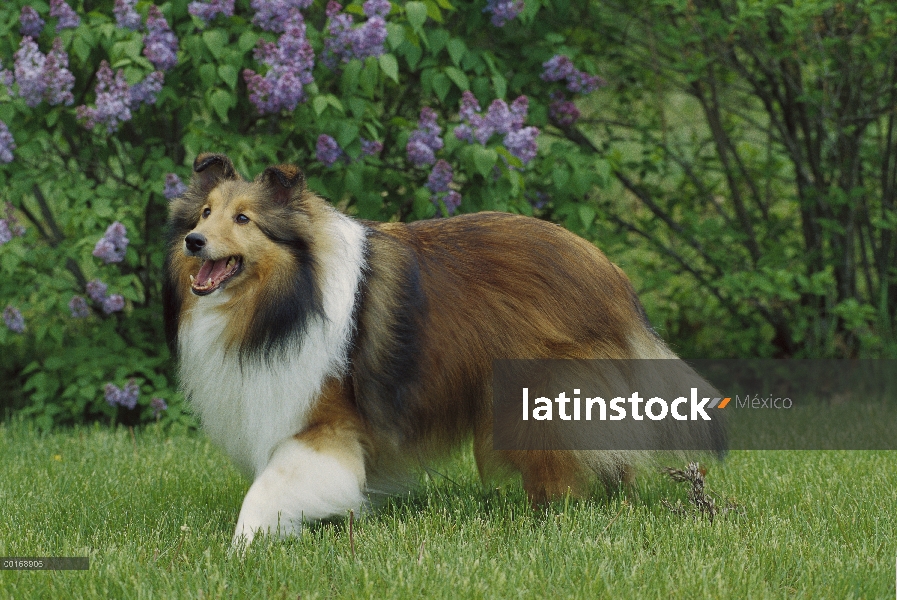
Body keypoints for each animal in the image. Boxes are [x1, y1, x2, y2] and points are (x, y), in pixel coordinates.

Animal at [161, 152, 720, 548]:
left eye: (244, 219)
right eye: (205, 213)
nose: (194, 241)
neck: (288, 295)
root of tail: (610, 274)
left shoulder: (323, 424)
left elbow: (266, 491)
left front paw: (239, 547)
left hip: (538, 394)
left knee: (563, 471)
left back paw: (551, 520)